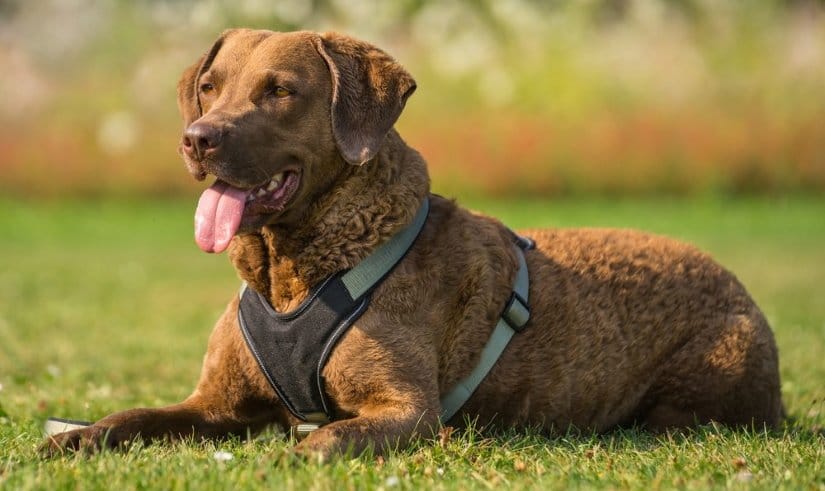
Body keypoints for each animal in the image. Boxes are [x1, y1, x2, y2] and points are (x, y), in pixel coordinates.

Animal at [40, 28, 784, 460]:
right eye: (208, 87)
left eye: (279, 91)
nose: (197, 138)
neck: (291, 273)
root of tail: (734, 280)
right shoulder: (215, 404)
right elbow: (131, 416)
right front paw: (74, 436)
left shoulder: (404, 408)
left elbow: (327, 439)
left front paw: (291, 453)